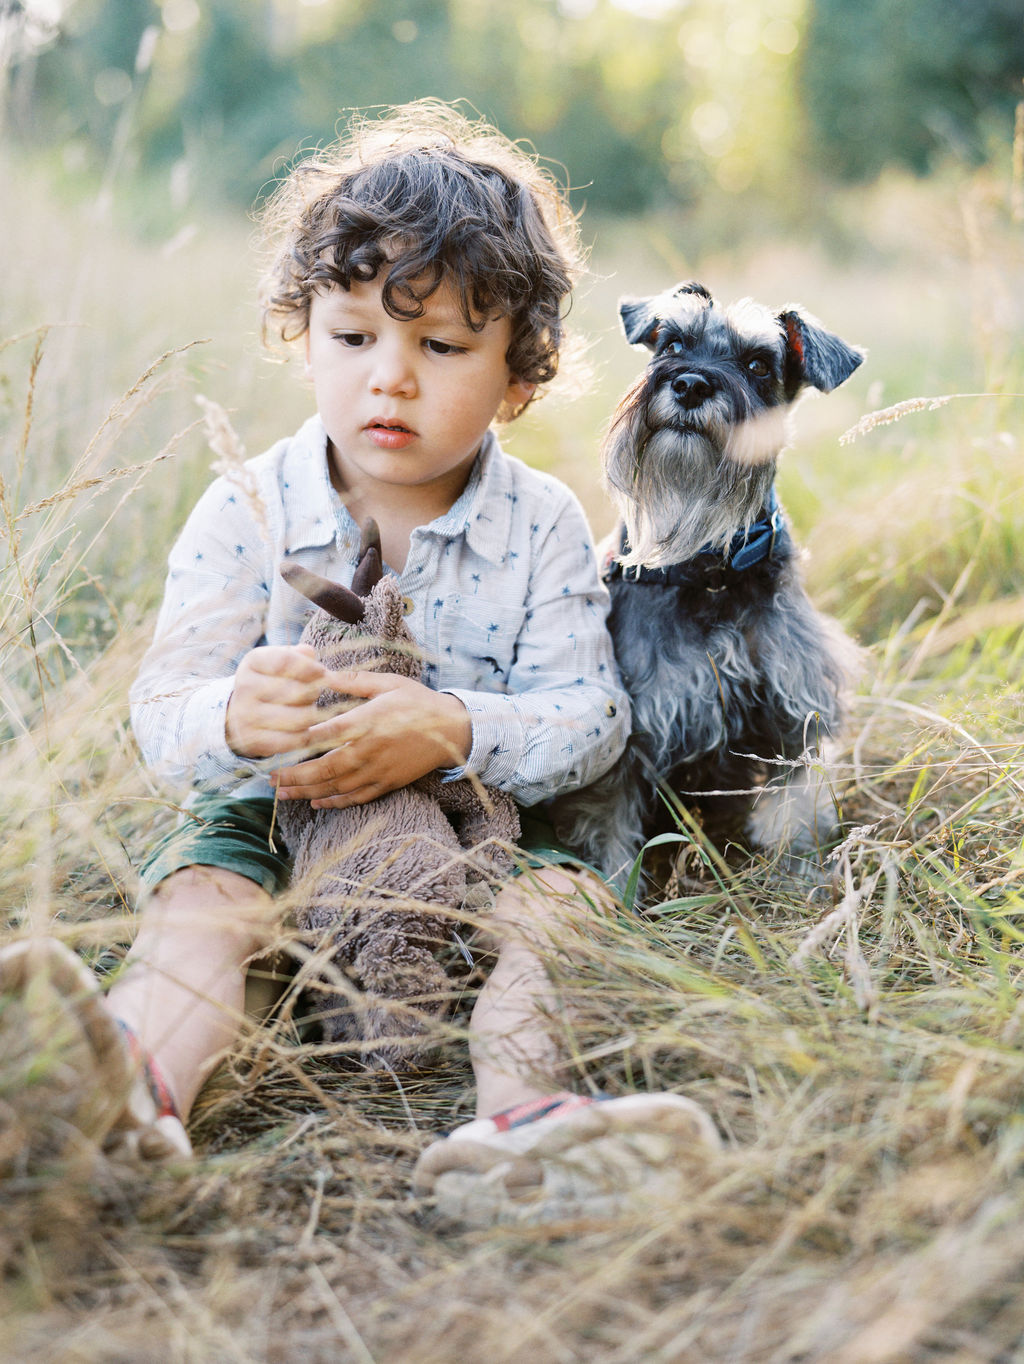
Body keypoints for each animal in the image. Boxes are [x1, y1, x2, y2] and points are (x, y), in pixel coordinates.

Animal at [553, 282, 867, 889]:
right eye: (672, 342)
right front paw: (614, 898)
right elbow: (611, 834)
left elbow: (795, 815)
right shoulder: (627, 741)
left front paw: (801, 887)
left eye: (759, 364)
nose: (691, 384)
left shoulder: (793, 717)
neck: (709, 568)